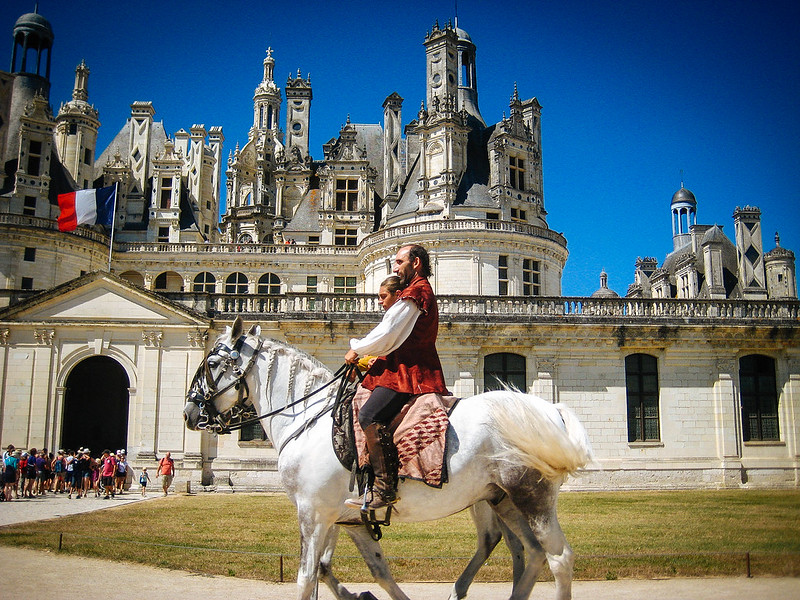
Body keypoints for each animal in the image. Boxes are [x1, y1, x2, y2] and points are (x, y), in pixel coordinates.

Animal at [184, 316, 592, 596]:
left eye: (210, 364)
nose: (189, 413)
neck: (308, 418)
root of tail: (550, 409)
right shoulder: (344, 517)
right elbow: (359, 570)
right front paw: (360, 595)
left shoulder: (312, 514)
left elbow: (305, 578)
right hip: (502, 499)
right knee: (530, 553)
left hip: (531, 496)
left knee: (559, 558)